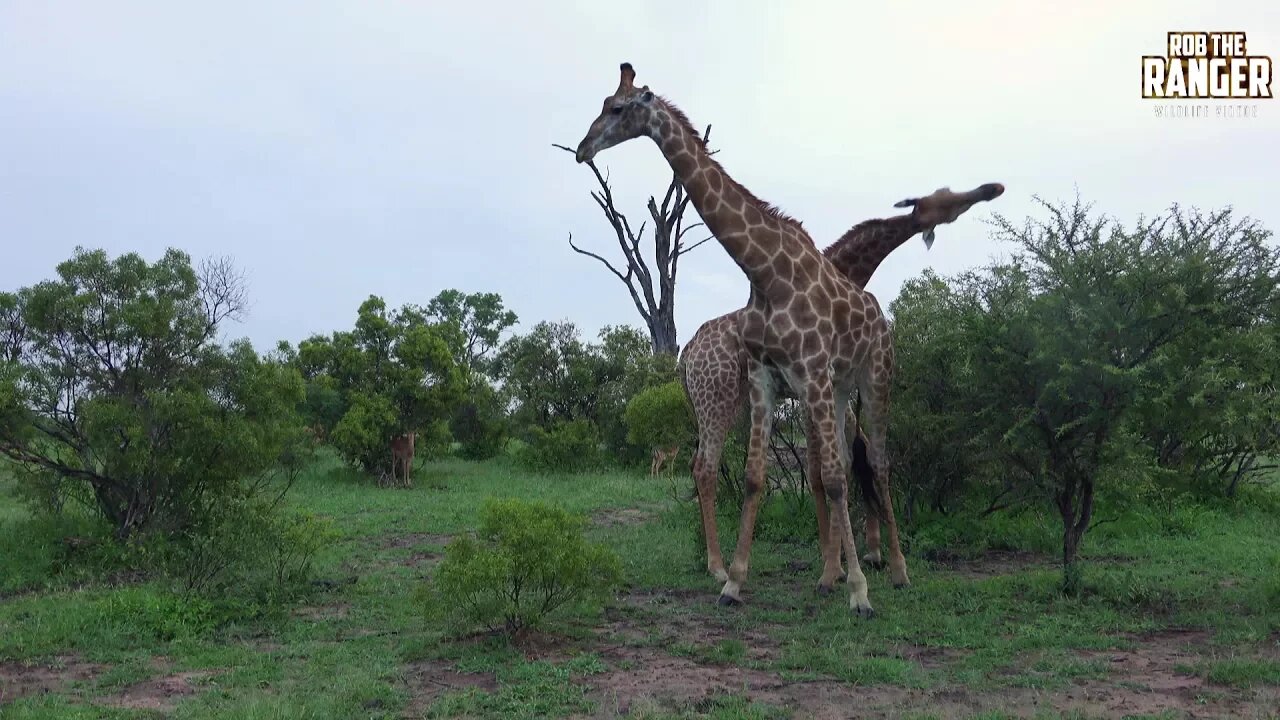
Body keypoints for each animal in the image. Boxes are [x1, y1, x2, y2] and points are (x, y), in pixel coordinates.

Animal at [576, 63, 885, 609]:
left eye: (617, 107)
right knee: (719, 466)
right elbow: (763, 475)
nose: (582, 147)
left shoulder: (812, 374)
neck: (767, 270)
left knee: (860, 464)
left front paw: (858, 592)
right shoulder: (770, 378)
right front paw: (739, 580)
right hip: (750, 397)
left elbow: (829, 477)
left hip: (849, 383)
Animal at [680, 183, 1008, 589]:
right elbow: (822, 472)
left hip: (717, 401)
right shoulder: (811, 390)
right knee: (706, 468)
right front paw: (835, 564)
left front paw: (852, 557)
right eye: (943, 199)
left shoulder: (829, 390)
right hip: (717, 397)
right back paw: (717, 565)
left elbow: (848, 461)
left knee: (699, 464)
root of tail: (687, 353)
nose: (988, 190)